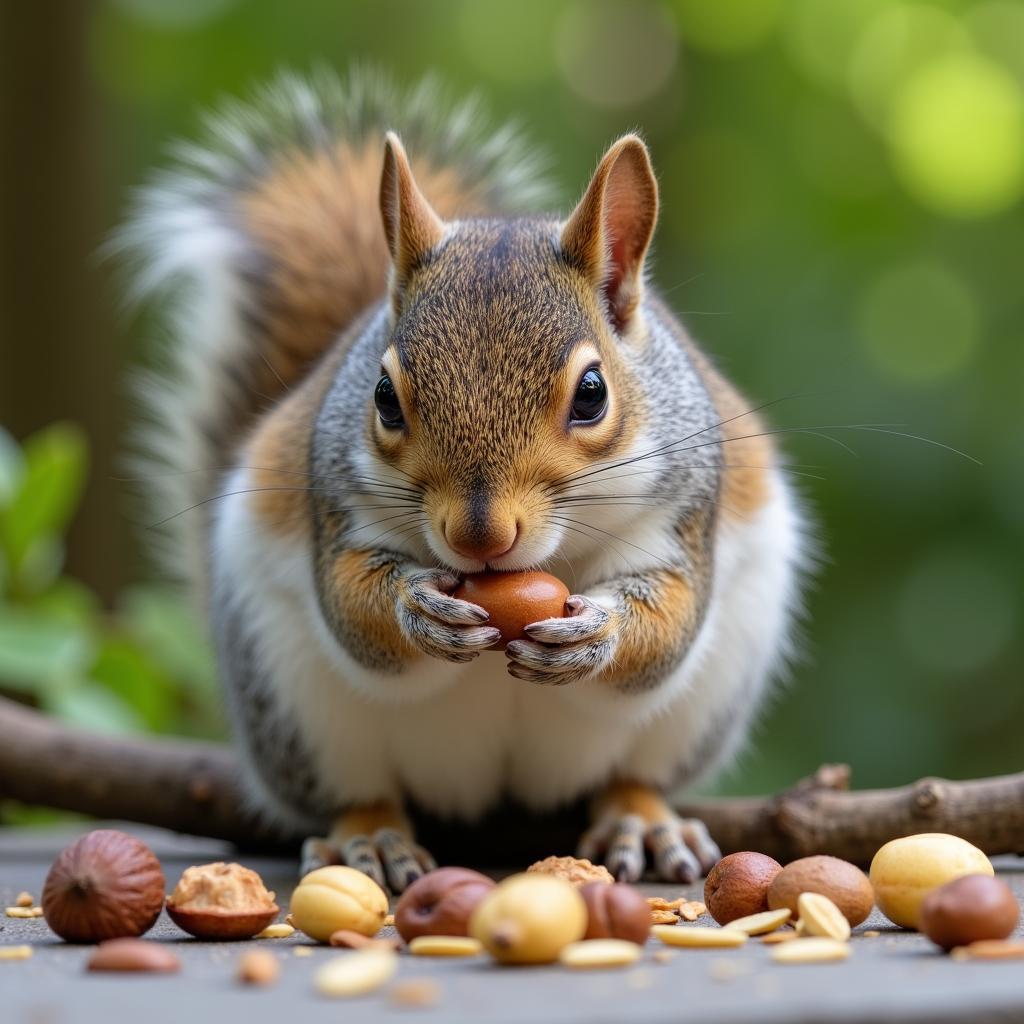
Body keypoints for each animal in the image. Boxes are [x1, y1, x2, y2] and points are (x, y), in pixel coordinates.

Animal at [121, 70, 806, 888]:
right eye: (383, 398)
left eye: (593, 394)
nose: (479, 536)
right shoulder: (334, 503)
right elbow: (353, 609)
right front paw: (417, 607)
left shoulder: (686, 510)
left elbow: (668, 618)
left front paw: (599, 631)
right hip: (293, 705)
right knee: (356, 788)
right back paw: (370, 837)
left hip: (702, 705)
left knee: (633, 770)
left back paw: (641, 819)